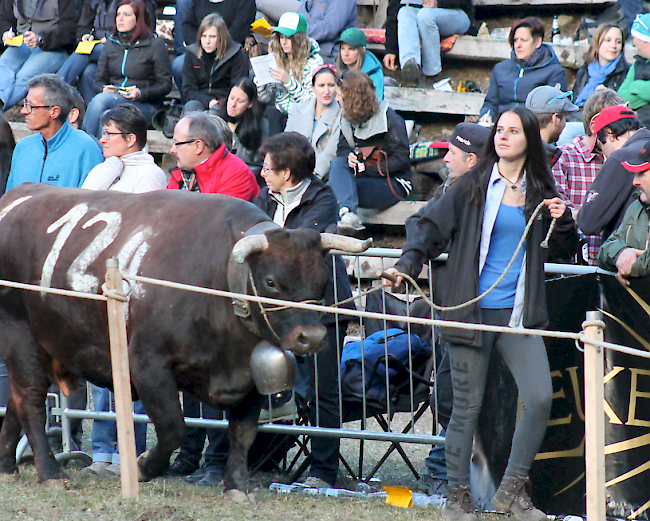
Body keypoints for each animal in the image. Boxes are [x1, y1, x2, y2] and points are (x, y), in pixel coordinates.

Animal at [0, 184, 370, 500]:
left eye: (323, 282)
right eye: (270, 282)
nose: (312, 337)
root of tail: (16, 196)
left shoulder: (249, 376)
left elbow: (242, 433)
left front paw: (236, 487)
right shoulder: (148, 364)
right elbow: (173, 428)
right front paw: (142, 466)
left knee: (16, 400)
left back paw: (6, 465)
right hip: (20, 335)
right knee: (30, 400)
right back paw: (50, 474)